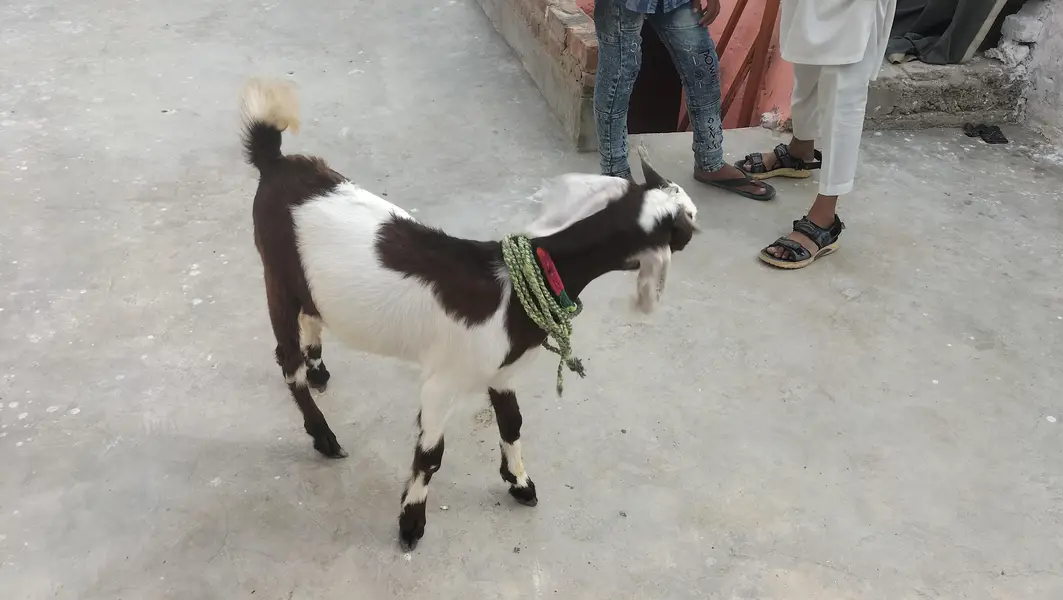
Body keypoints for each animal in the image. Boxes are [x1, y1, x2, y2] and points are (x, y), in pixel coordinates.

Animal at [239, 78, 698, 550]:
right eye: (681, 222)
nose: (693, 231)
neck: (518, 288)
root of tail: (274, 161)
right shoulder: (443, 382)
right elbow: (431, 455)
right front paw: (411, 522)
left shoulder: (502, 370)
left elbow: (513, 424)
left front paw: (520, 483)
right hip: (275, 272)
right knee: (286, 360)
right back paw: (323, 435)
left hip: (307, 281)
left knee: (311, 317)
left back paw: (319, 369)